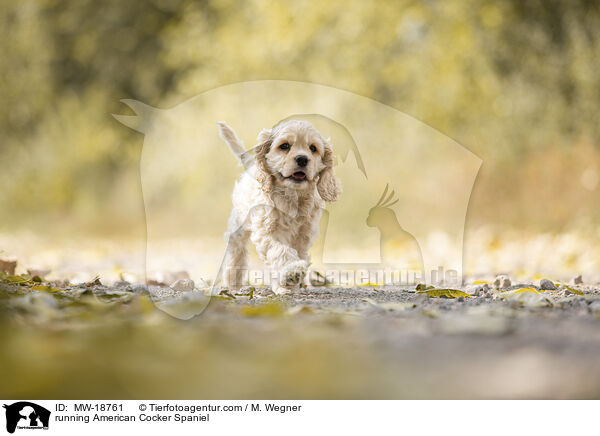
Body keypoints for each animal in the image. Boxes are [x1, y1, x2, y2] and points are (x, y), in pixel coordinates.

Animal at [217, 121, 340, 294]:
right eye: (285, 146)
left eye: (313, 148)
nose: (302, 159)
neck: (292, 196)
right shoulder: (267, 231)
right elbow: (280, 251)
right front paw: (292, 272)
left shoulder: (303, 234)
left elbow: (299, 253)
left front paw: (290, 282)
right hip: (239, 226)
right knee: (237, 251)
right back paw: (233, 283)